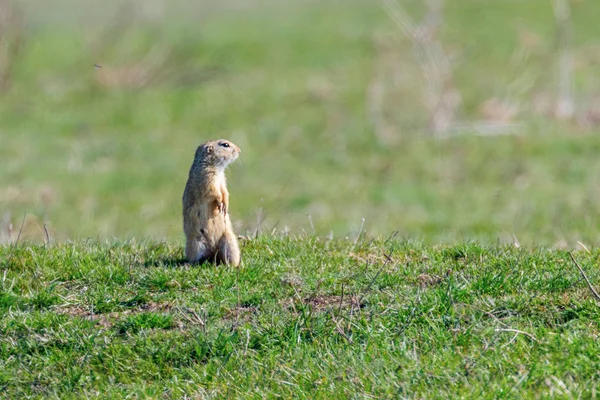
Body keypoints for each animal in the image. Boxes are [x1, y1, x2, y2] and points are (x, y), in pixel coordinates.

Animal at [182, 139, 240, 268]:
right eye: (225, 145)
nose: (239, 150)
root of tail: (213, 252)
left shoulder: (222, 179)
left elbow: (224, 191)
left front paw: (225, 205)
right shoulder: (207, 176)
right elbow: (213, 191)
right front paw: (220, 203)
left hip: (230, 242)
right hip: (195, 243)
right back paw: (190, 264)